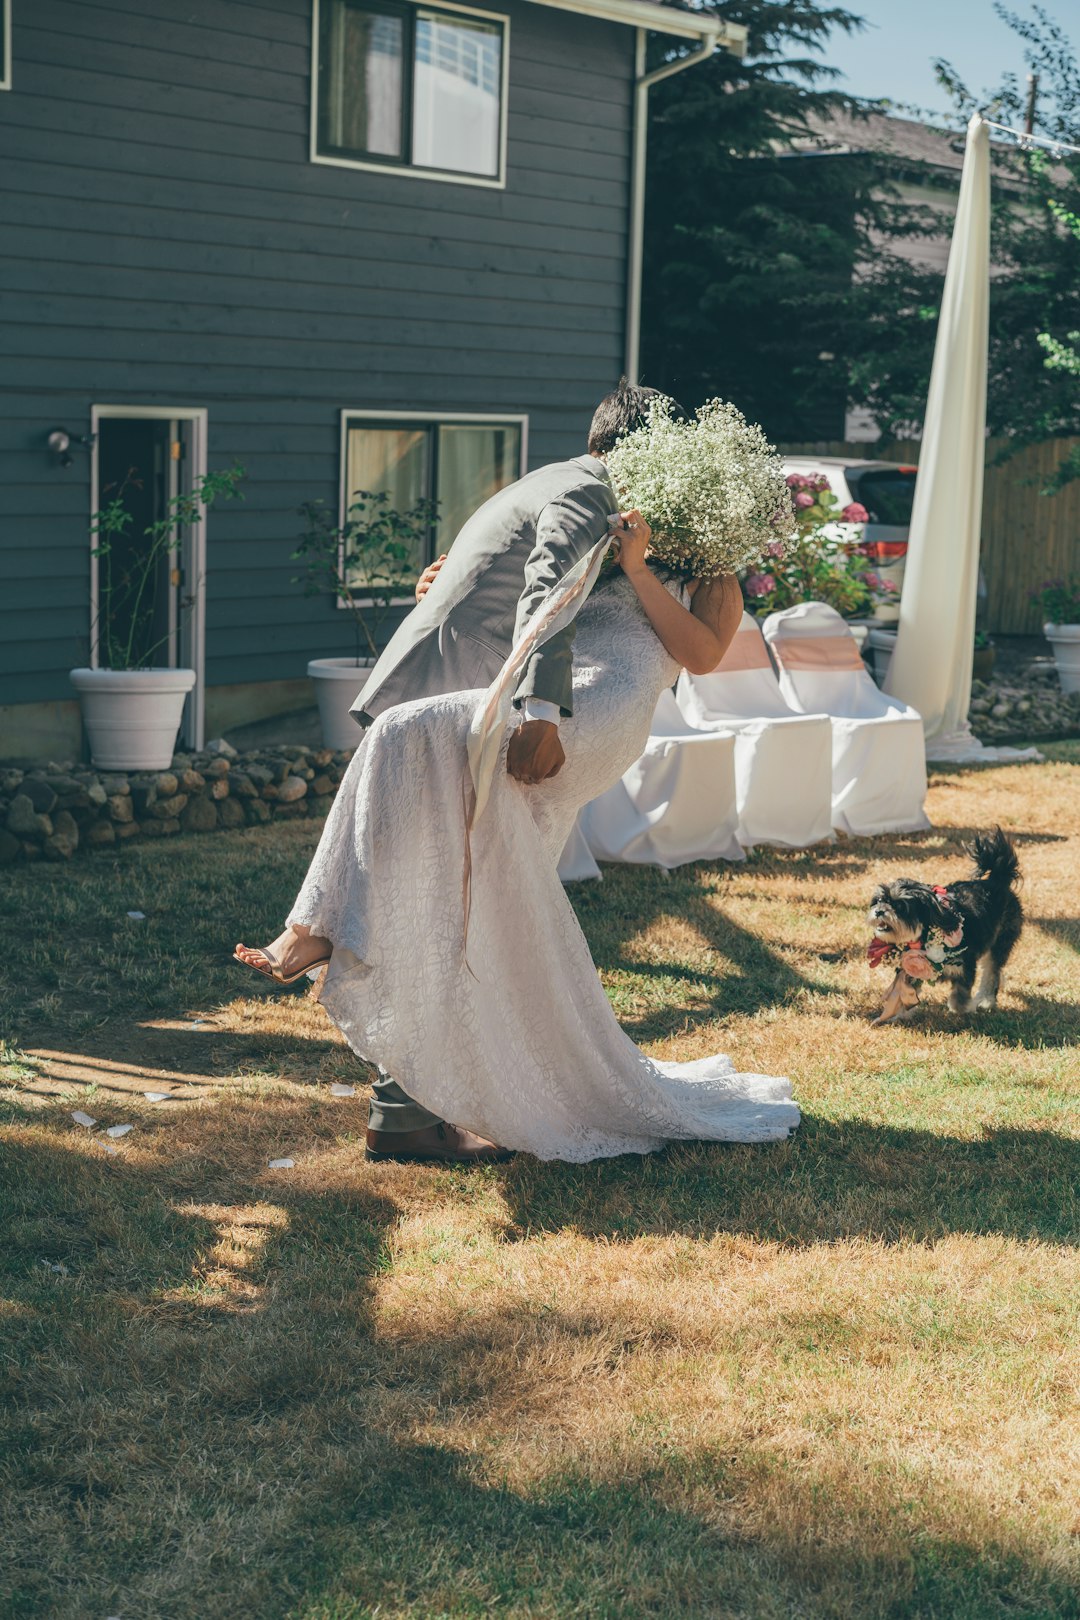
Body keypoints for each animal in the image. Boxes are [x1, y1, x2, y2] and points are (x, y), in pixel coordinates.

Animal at [867, 829, 1029, 1017]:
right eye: (879, 901)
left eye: (900, 906)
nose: (879, 911)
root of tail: (997, 879)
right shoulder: (910, 967)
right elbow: (905, 994)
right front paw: (899, 1013)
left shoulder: (965, 966)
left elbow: (960, 995)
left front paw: (964, 1008)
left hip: (1000, 942)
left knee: (992, 972)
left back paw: (986, 1000)